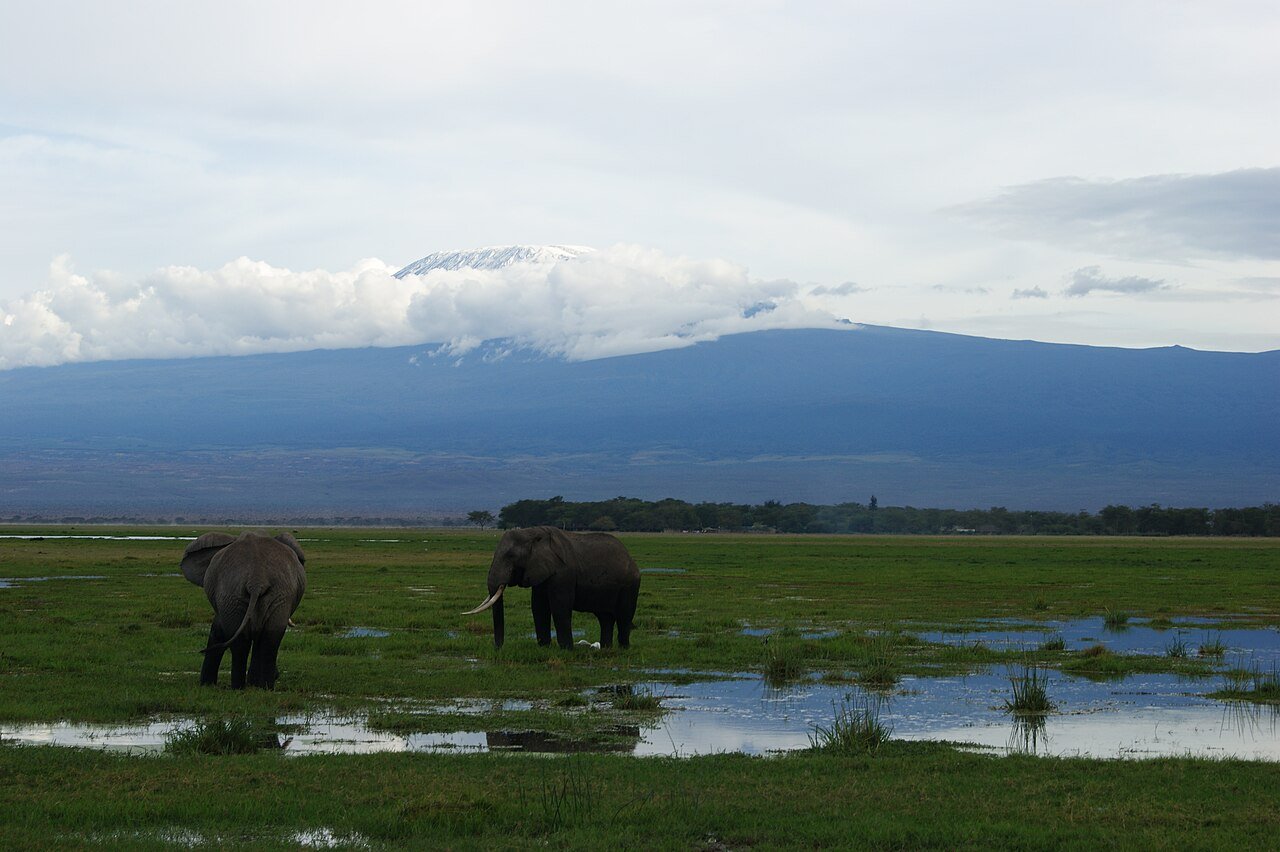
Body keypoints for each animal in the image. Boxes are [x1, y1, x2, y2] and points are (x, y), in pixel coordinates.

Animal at [180, 531, 306, 689]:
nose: (278, 674)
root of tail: (256, 579)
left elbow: (218, 631)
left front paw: (206, 684)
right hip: (260, 595)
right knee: (268, 638)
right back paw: (261, 688)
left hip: (245, 595)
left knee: (249, 641)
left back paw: (242, 687)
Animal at [463, 526, 640, 650]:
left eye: (511, 556)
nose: (498, 648)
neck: (533, 533)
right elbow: (538, 607)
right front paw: (544, 647)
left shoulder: (563, 573)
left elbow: (560, 607)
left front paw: (566, 650)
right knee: (605, 618)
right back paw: (606, 648)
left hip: (630, 585)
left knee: (624, 617)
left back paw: (623, 648)